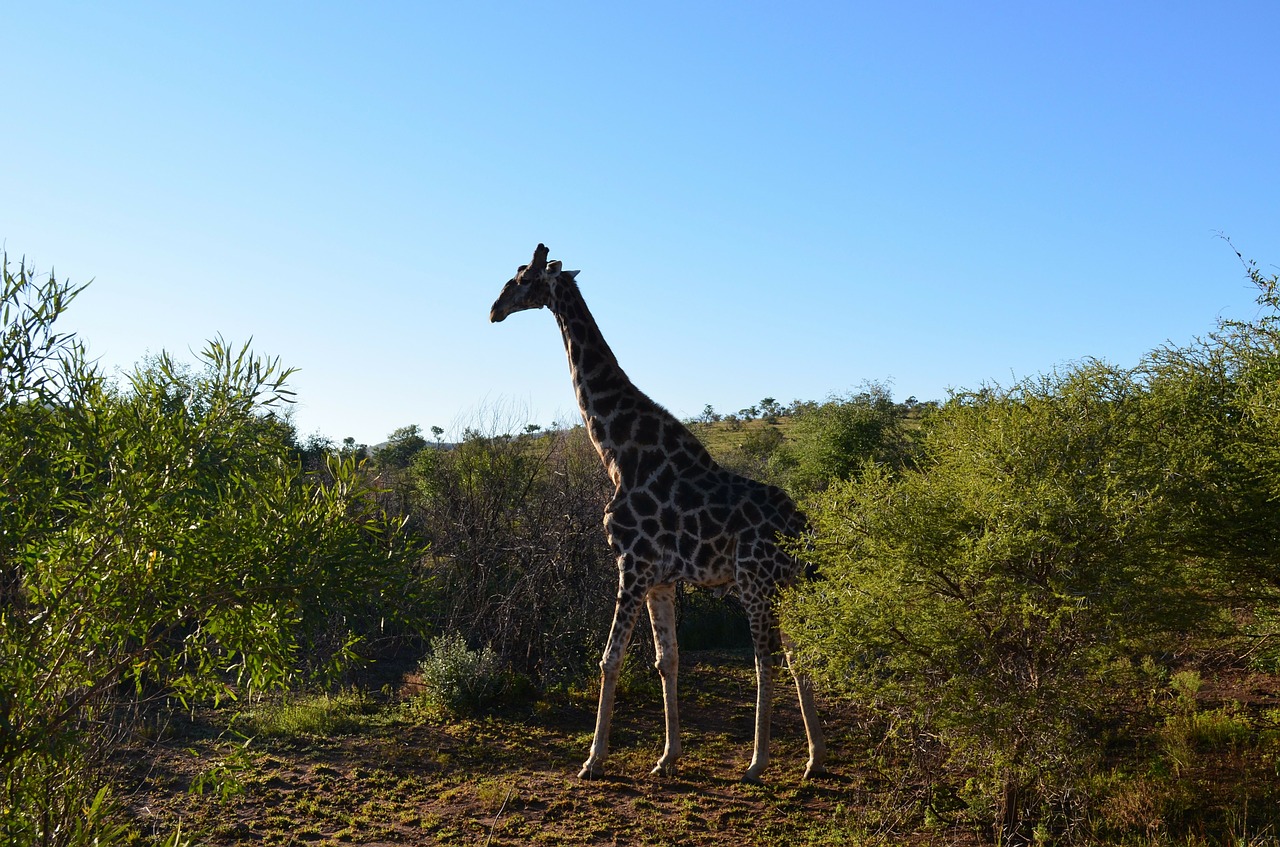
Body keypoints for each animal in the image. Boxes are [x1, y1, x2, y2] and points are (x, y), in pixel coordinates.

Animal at [488, 244, 829, 783]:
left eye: (520, 279)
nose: (493, 310)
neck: (617, 452)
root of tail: (804, 530)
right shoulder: (661, 577)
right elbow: (666, 660)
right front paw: (667, 757)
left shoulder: (631, 563)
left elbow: (610, 659)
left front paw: (593, 759)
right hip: (788, 585)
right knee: (799, 656)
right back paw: (815, 758)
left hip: (754, 580)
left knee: (765, 660)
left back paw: (757, 763)